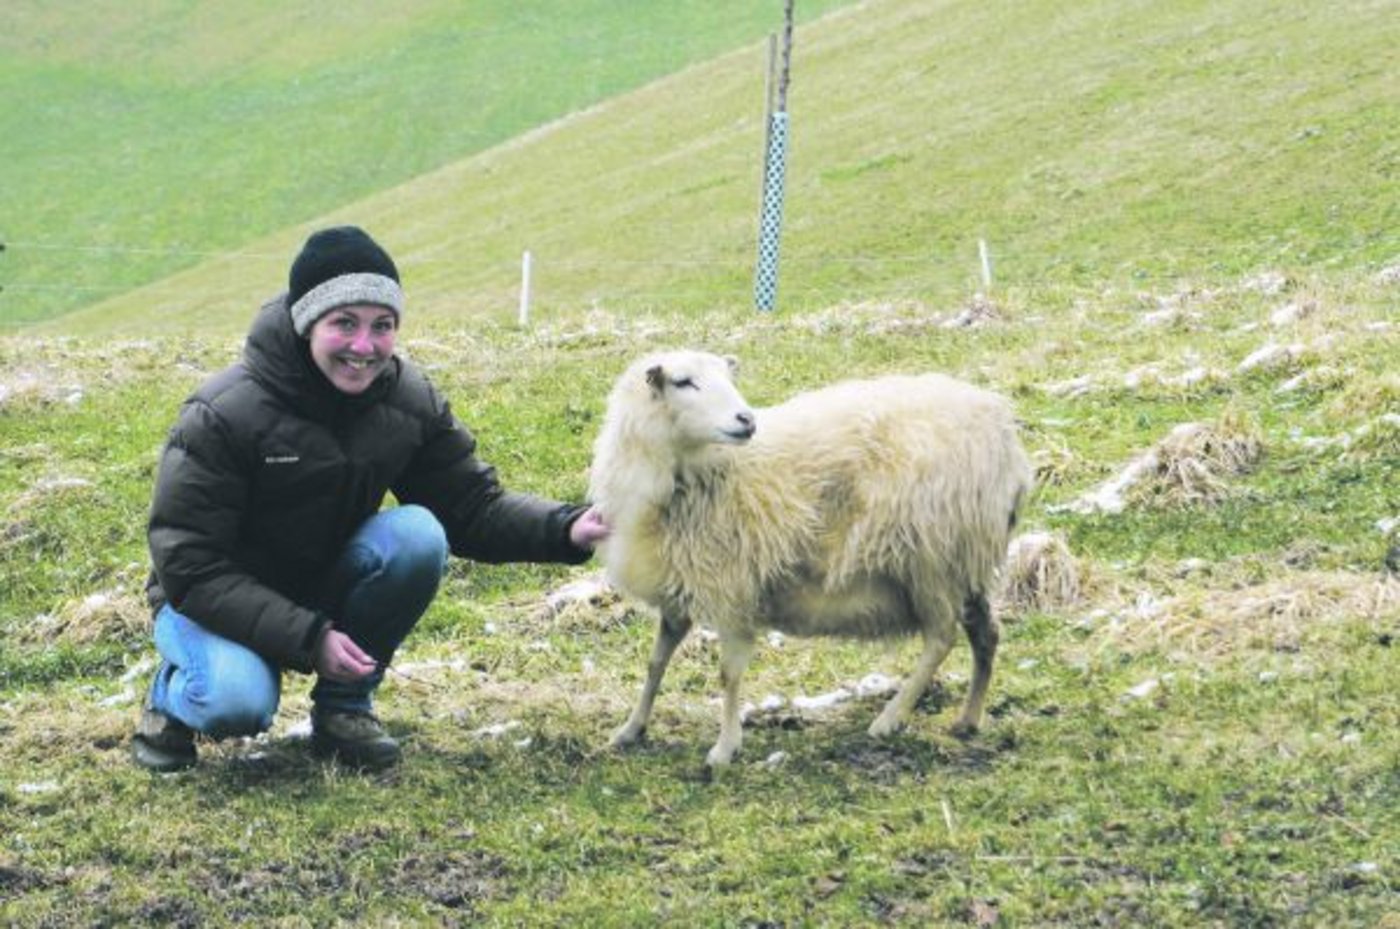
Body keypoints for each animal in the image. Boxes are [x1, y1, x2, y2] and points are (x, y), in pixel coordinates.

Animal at [588, 350, 1033, 766]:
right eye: (683, 382)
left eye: (730, 377)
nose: (746, 420)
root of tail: (1004, 438)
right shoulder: (680, 588)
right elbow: (655, 663)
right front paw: (630, 729)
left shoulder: (731, 587)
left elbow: (728, 675)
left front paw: (725, 748)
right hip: (965, 562)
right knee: (987, 634)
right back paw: (968, 718)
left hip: (932, 556)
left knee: (941, 638)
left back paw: (889, 718)